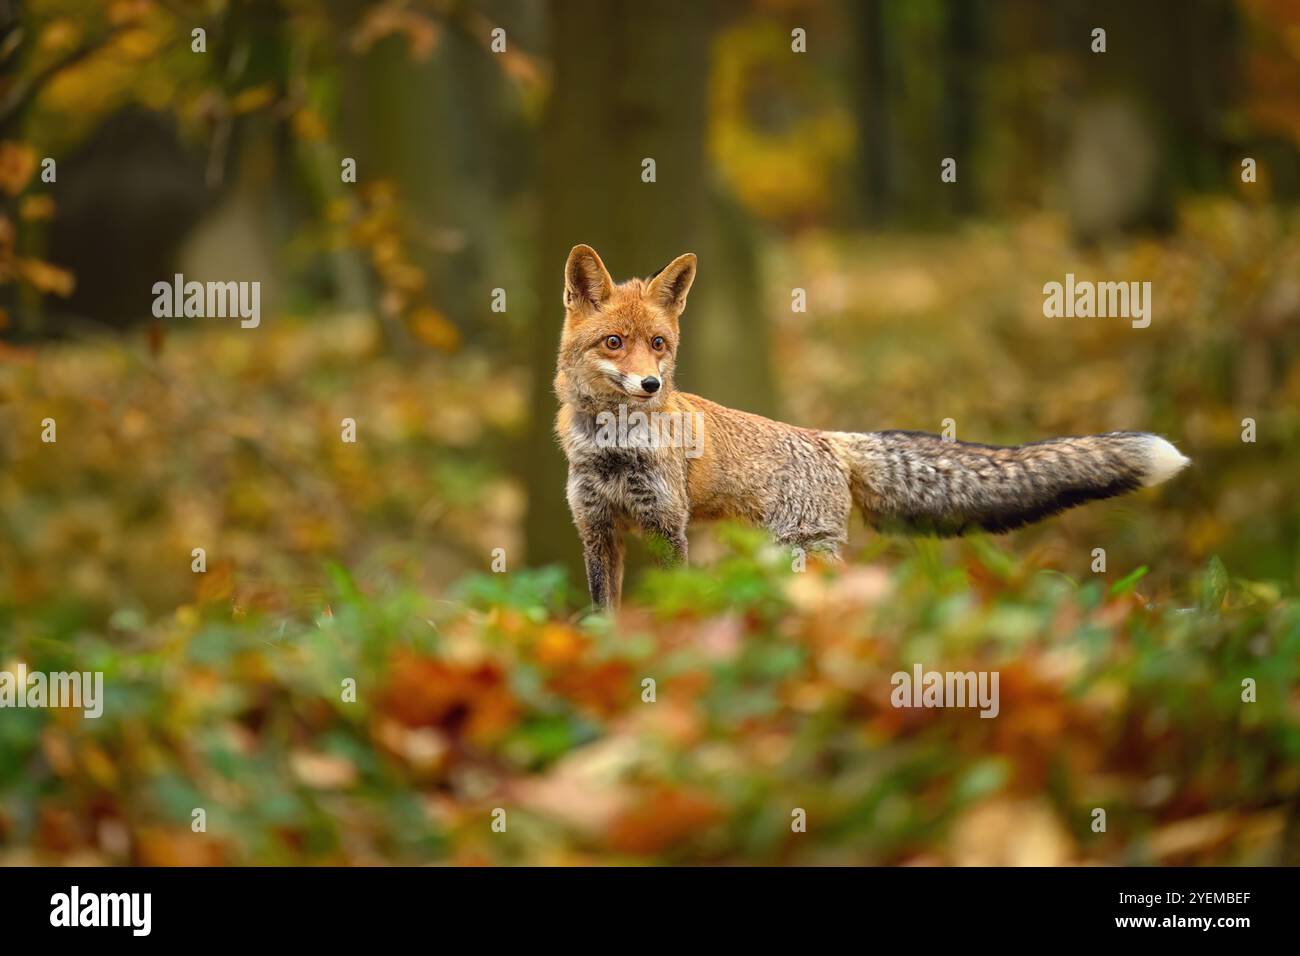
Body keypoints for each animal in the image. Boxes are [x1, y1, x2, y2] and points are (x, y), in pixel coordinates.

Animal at [553, 243, 1190, 608]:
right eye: (615, 342)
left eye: (658, 344)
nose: (651, 385)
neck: (612, 450)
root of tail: (826, 438)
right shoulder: (597, 530)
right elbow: (602, 615)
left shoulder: (668, 527)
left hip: (802, 553)